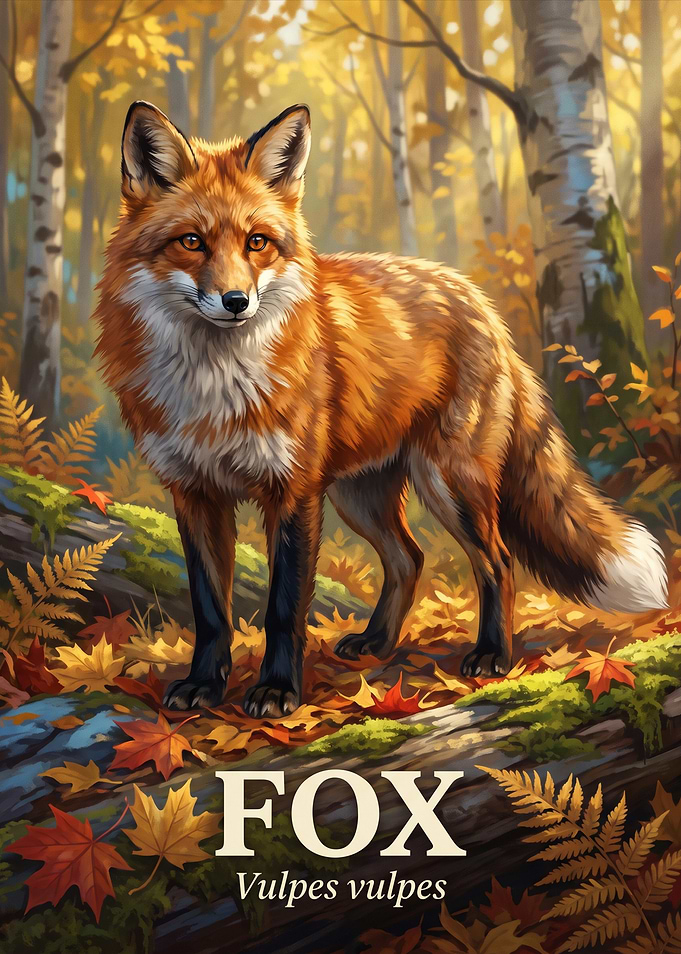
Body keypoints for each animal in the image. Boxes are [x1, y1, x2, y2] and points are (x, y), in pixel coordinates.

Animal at [95, 100, 668, 717]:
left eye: (257, 243)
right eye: (192, 242)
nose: (236, 301)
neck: (215, 390)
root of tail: (477, 299)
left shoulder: (293, 492)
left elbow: (283, 609)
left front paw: (279, 689)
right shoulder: (194, 492)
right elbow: (210, 610)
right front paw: (204, 684)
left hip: (448, 483)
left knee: (497, 560)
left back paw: (493, 654)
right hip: (358, 495)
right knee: (408, 559)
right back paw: (377, 641)